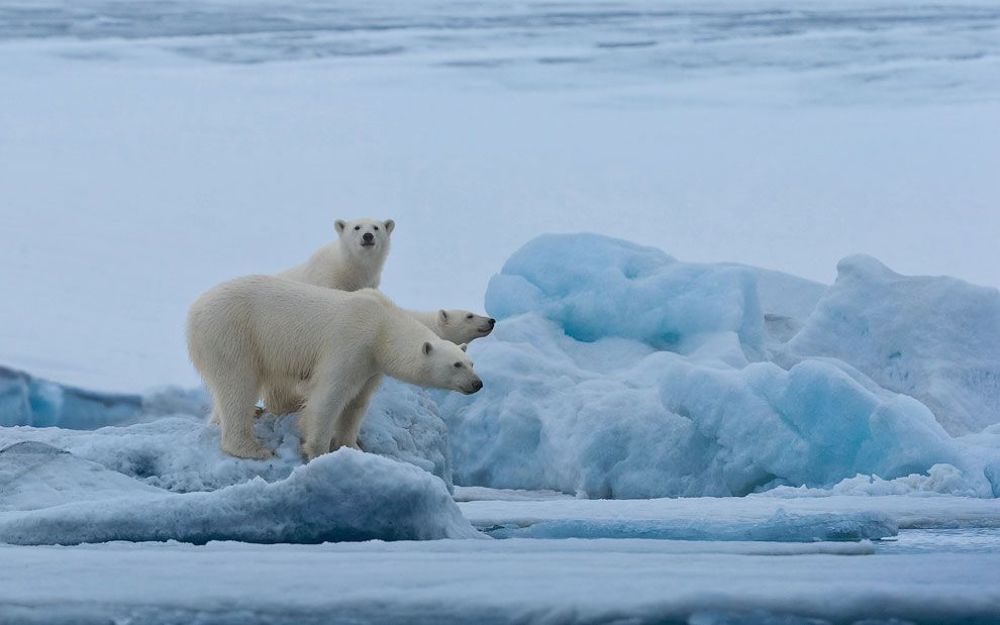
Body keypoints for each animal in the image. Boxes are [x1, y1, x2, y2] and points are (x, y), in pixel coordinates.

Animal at [187, 276, 482, 461]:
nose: (477, 384)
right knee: (238, 386)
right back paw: (252, 449)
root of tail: (194, 311)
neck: (382, 325)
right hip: (233, 333)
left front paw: (352, 446)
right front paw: (317, 451)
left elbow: (357, 403)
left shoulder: (370, 363)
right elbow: (329, 396)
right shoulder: (350, 342)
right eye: (456, 364)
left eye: (471, 363)